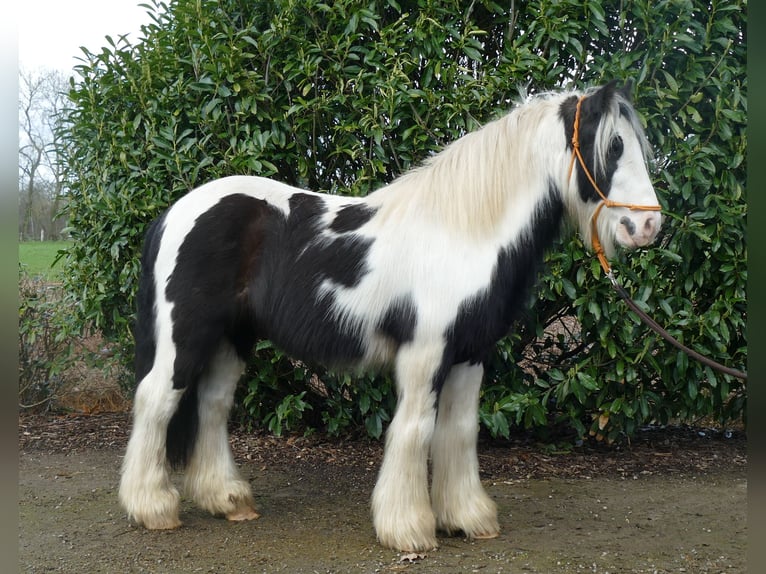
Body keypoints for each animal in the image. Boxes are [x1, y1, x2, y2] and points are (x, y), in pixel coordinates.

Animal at [117, 81, 664, 552]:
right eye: (614, 146)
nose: (647, 227)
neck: (462, 231)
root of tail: (175, 212)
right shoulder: (425, 354)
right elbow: (414, 429)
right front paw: (408, 528)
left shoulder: (470, 354)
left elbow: (459, 431)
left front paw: (467, 517)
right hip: (186, 337)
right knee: (157, 401)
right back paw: (153, 507)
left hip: (232, 339)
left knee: (212, 405)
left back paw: (228, 500)